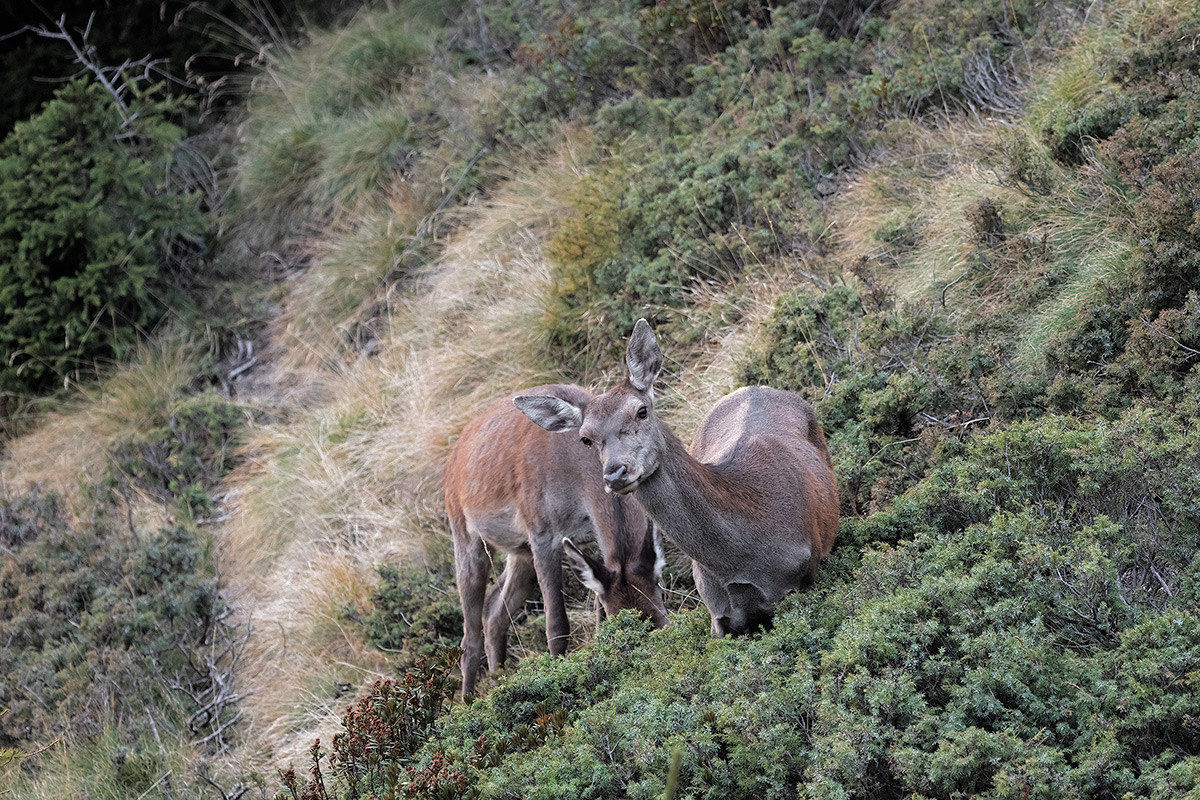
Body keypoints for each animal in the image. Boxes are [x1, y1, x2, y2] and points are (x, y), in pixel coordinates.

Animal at [445, 384, 669, 697]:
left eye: (663, 621)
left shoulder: (590, 539)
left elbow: (598, 613)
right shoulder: (542, 532)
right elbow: (557, 625)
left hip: (520, 552)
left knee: (494, 611)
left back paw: (498, 680)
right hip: (464, 534)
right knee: (469, 635)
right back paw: (469, 701)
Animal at [515, 320, 839, 637]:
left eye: (641, 411)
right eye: (585, 438)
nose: (616, 473)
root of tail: (751, 386)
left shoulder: (805, 578)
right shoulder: (716, 614)